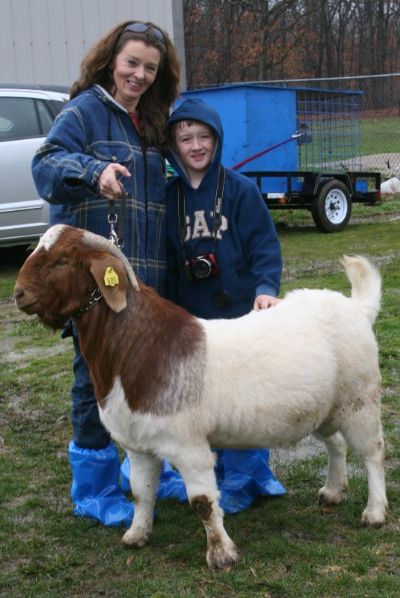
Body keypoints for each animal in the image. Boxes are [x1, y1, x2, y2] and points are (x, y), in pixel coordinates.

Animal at [14, 225, 388, 572]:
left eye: (62, 261)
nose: (18, 293)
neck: (138, 348)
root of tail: (357, 308)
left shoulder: (188, 446)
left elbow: (203, 502)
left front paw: (221, 555)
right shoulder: (138, 445)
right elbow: (140, 491)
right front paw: (136, 535)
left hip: (360, 400)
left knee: (373, 452)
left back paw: (374, 512)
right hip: (325, 408)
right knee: (336, 443)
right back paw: (333, 491)